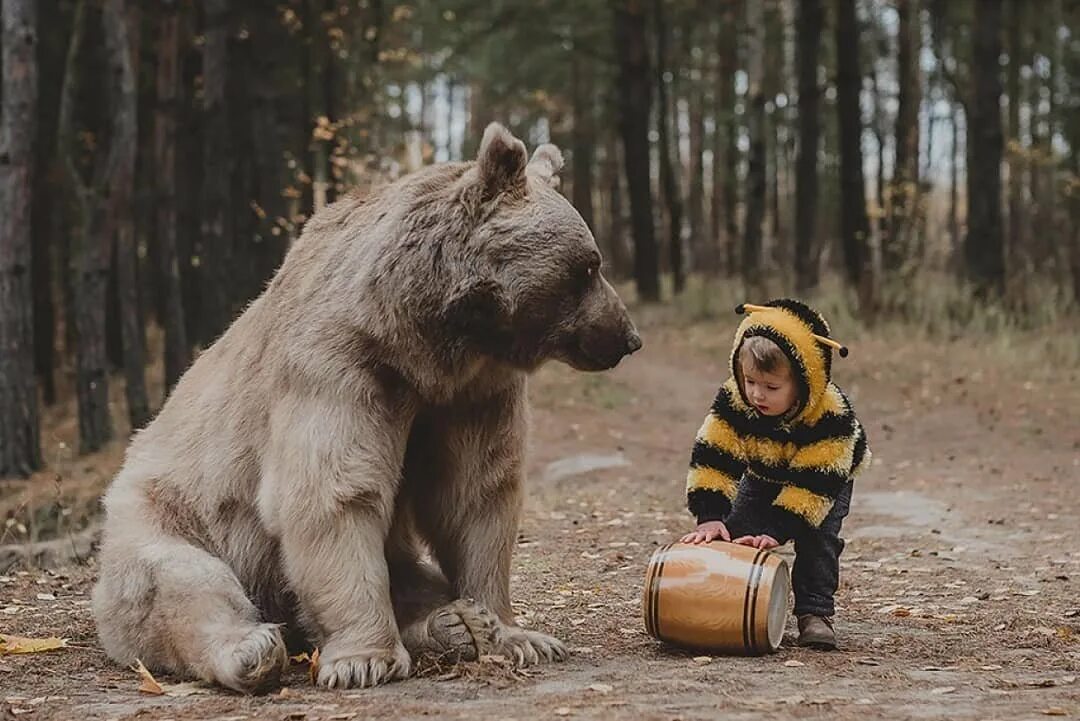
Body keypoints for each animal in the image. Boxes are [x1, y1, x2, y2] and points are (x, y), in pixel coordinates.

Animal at [90, 124, 639, 690]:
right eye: (589, 266)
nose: (627, 337)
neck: (427, 345)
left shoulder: (472, 394)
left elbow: (475, 494)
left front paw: (516, 635)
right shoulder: (341, 366)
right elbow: (334, 491)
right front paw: (364, 660)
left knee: (410, 577)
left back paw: (451, 624)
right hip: (168, 516)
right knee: (181, 582)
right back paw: (253, 650)